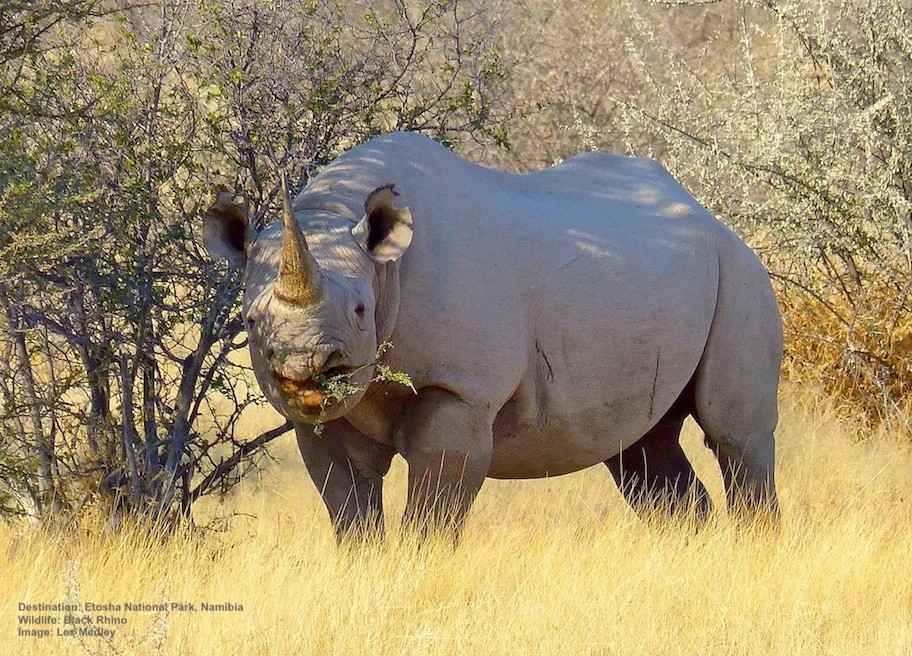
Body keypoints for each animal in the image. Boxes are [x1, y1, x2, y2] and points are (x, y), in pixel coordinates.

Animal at [203, 132, 782, 538]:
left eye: (361, 311)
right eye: (250, 322)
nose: (305, 368)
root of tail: (709, 217)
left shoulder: (462, 388)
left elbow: (435, 505)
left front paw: (418, 567)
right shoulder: (322, 421)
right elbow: (348, 506)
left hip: (740, 271)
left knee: (735, 436)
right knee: (642, 445)